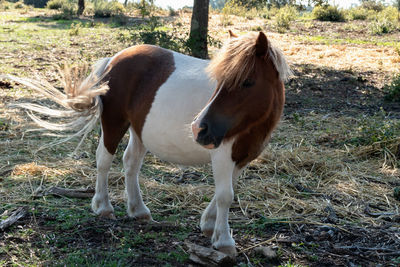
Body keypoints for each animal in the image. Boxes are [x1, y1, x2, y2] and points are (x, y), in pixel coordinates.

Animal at [2, 31, 290, 258]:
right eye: (218, 82)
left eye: (247, 82)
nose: (199, 128)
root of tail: (114, 59)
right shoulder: (222, 154)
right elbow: (225, 195)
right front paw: (224, 240)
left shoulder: (243, 156)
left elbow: (229, 191)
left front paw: (209, 225)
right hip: (114, 123)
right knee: (104, 160)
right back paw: (103, 207)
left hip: (139, 131)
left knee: (130, 164)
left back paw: (138, 210)